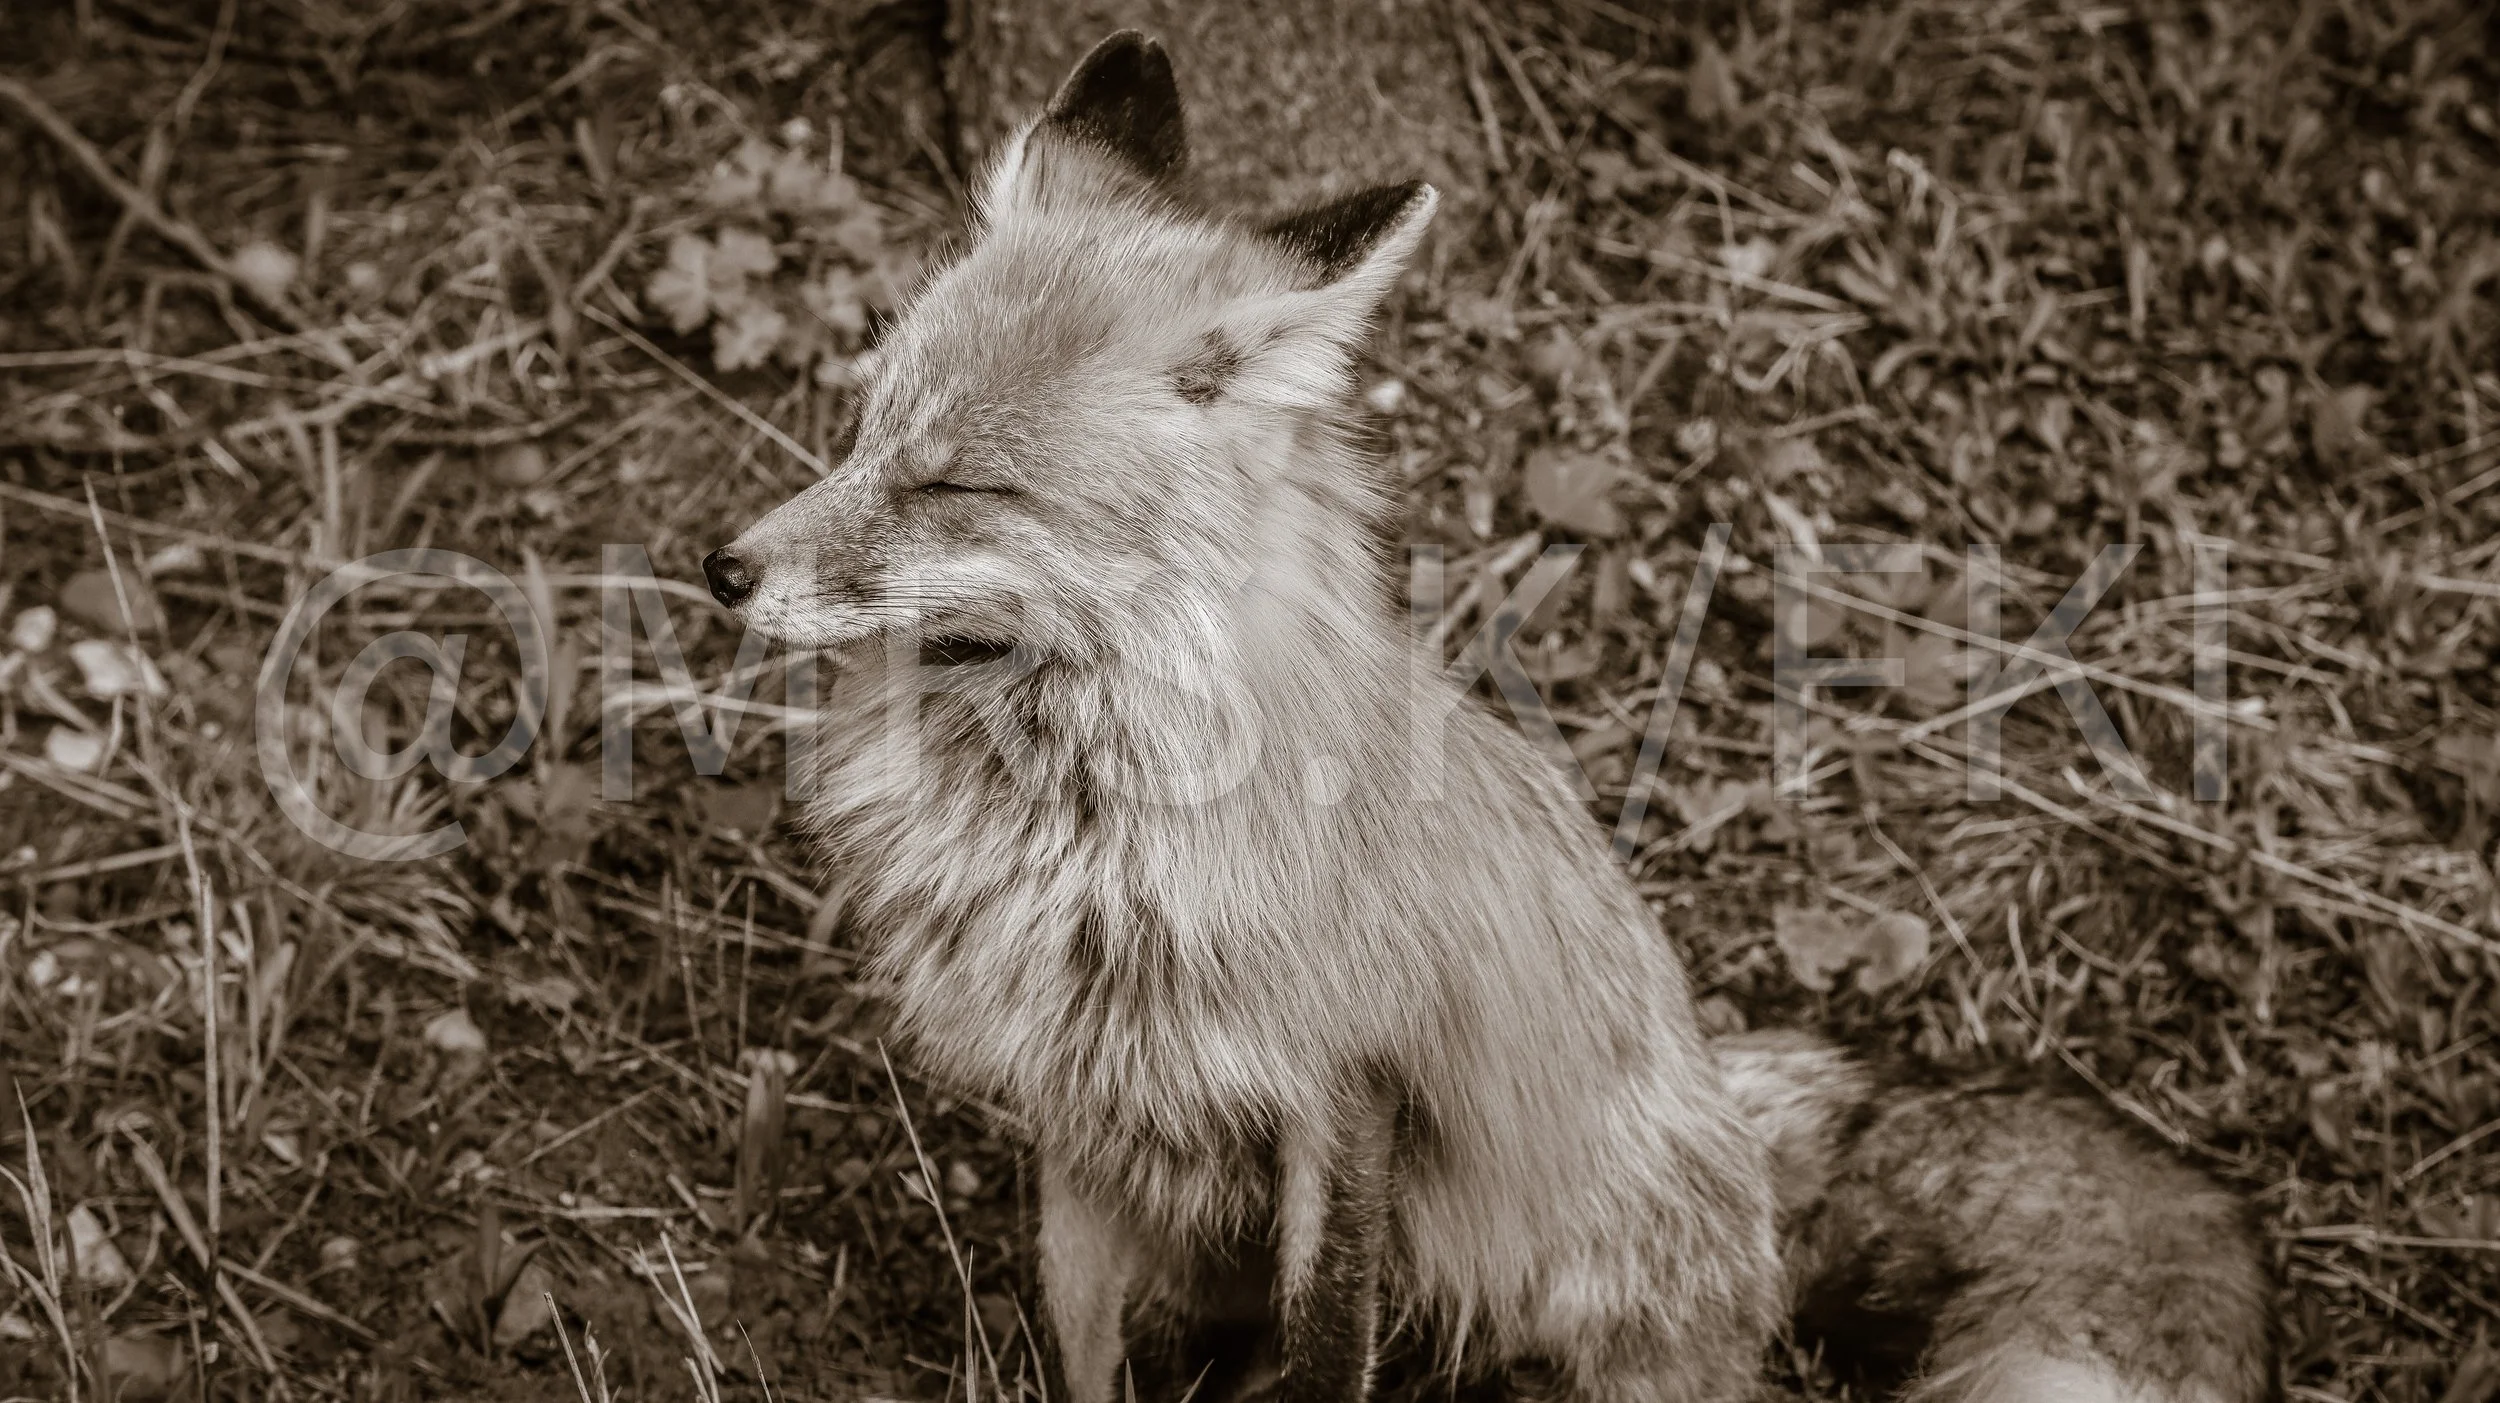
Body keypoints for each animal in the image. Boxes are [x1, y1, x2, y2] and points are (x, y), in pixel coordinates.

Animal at [705, 31, 2276, 1403]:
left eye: (960, 484)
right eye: (862, 432)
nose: (724, 566)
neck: (1081, 826)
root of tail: (1728, 1104)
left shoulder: (1346, 1100)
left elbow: (1323, 1348)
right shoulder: (1080, 1109)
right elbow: (1080, 1340)